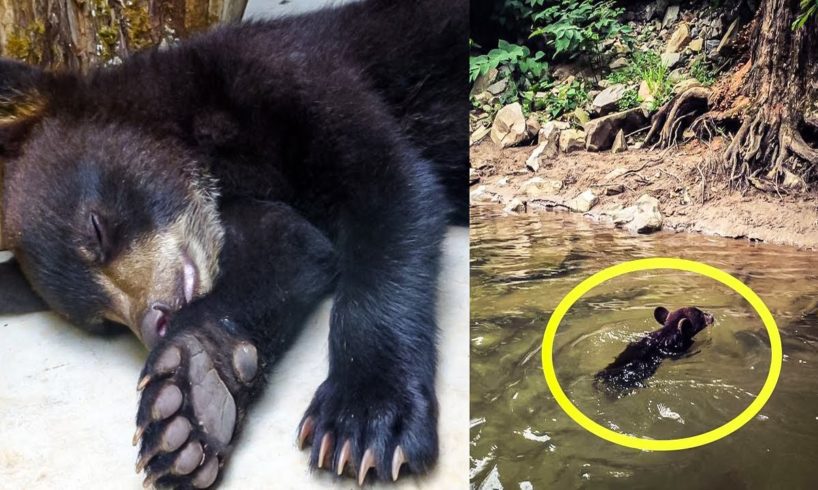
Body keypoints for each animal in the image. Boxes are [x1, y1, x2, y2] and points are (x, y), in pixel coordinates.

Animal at [0, 0, 467, 487]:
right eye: (103, 322)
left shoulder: (298, 75)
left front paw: (363, 419)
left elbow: (389, 186)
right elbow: (292, 250)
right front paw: (190, 399)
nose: (153, 323)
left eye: (95, 227)